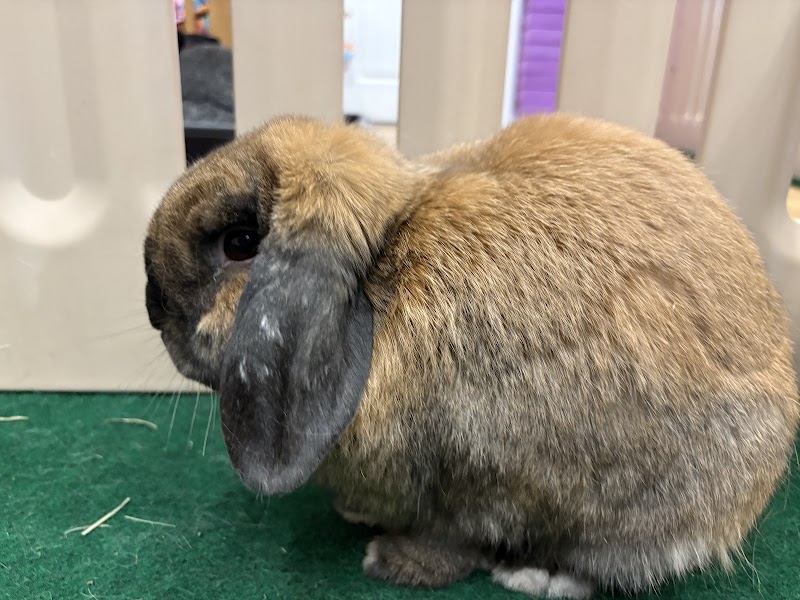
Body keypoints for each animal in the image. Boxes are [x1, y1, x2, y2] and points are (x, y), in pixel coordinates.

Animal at [144, 112, 799, 598]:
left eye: (240, 242)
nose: (152, 305)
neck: (389, 267)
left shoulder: (479, 474)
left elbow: (456, 539)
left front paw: (391, 562)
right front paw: (357, 515)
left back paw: (537, 574)